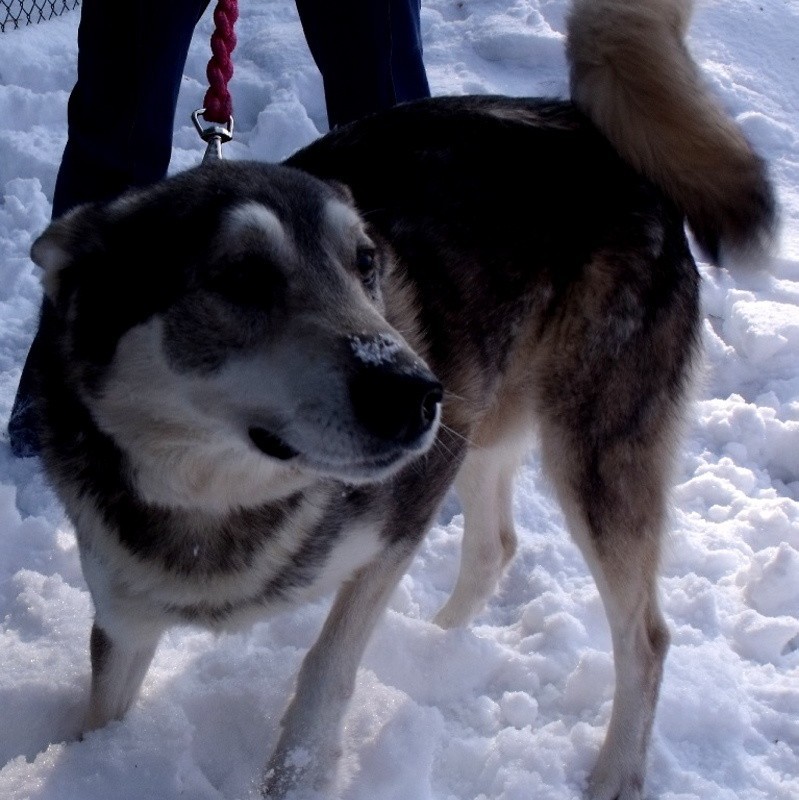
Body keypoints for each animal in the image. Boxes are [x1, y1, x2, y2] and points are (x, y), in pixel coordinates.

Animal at [26, 0, 776, 796]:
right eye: (241, 278)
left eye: (364, 264)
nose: (418, 394)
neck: (220, 504)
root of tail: (589, 127)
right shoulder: (122, 611)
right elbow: (102, 718)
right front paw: (97, 765)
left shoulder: (398, 519)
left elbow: (326, 670)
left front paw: (299, 771)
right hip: (484, 413)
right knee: (496, 545)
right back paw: (436, 649)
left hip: (588, 456)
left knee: (647, 636)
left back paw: (613, 773)